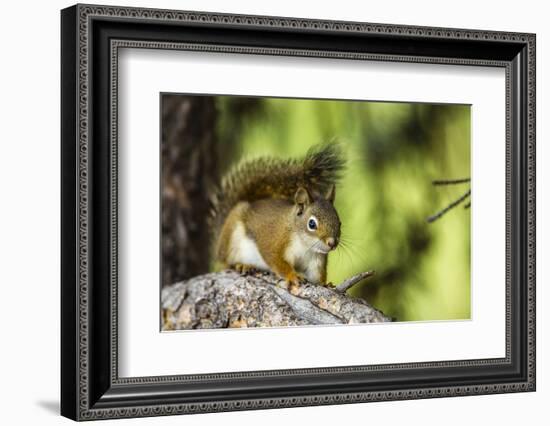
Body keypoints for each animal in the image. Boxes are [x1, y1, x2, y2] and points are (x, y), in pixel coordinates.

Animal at [210, 145, 344, 292]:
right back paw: (241, 265)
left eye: (339, 222)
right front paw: (292, 276)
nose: (332, 243)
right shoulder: (274, 242)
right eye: (312, 224)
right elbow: (277, 262)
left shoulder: (316, 260)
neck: (305, 245)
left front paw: (325, 284)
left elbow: (317, 276)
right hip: (231, 238)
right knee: (225, 263)